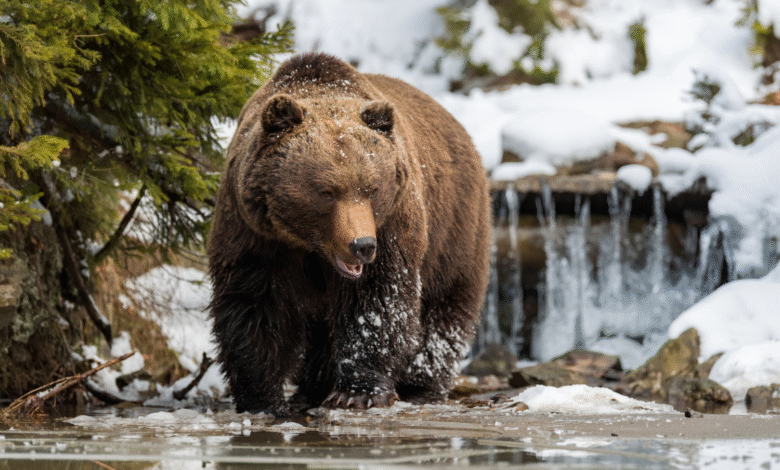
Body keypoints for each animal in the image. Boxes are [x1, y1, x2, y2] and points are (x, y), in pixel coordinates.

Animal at [208, 53, 491, 417]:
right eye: (326, 192)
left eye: (372, 189)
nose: (362, 246)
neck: (310, 245)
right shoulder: (254, 232)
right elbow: (255, 303)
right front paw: (262, 398)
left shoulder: (392, 225)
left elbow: (376, 302)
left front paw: (358, 392)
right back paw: (312, 387)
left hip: (455, 226)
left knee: (445, 305)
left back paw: (421, 385)